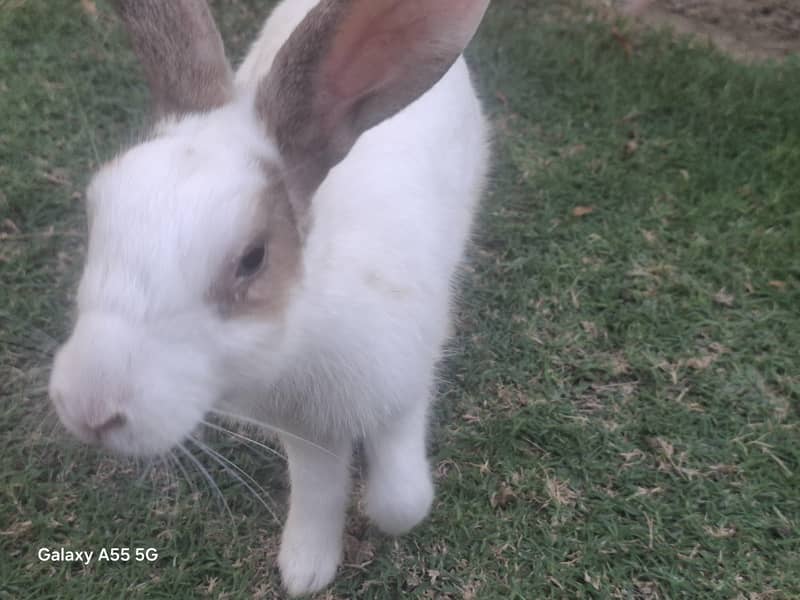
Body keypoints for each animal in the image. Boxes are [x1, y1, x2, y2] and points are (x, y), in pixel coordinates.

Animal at [48, 0, 491, 595]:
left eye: (253, 257)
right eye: (95, 209)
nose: (88, 411)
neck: (305, 332)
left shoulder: (404, 387)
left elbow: (401, 501)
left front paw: (380, 516)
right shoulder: (304, 431)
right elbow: (318, 490)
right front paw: (306, 568)